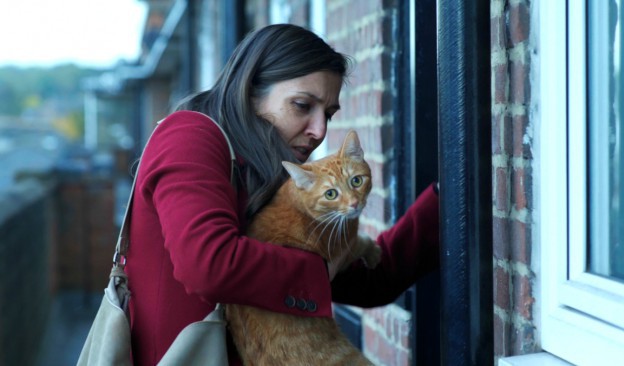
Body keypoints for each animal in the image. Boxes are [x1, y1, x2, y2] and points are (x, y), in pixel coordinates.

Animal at [225, 131, 380, 366]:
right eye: (331, 194)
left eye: (356, 181)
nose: (354, 204)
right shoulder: (342, 248)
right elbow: (360, 242)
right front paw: (374, 252)